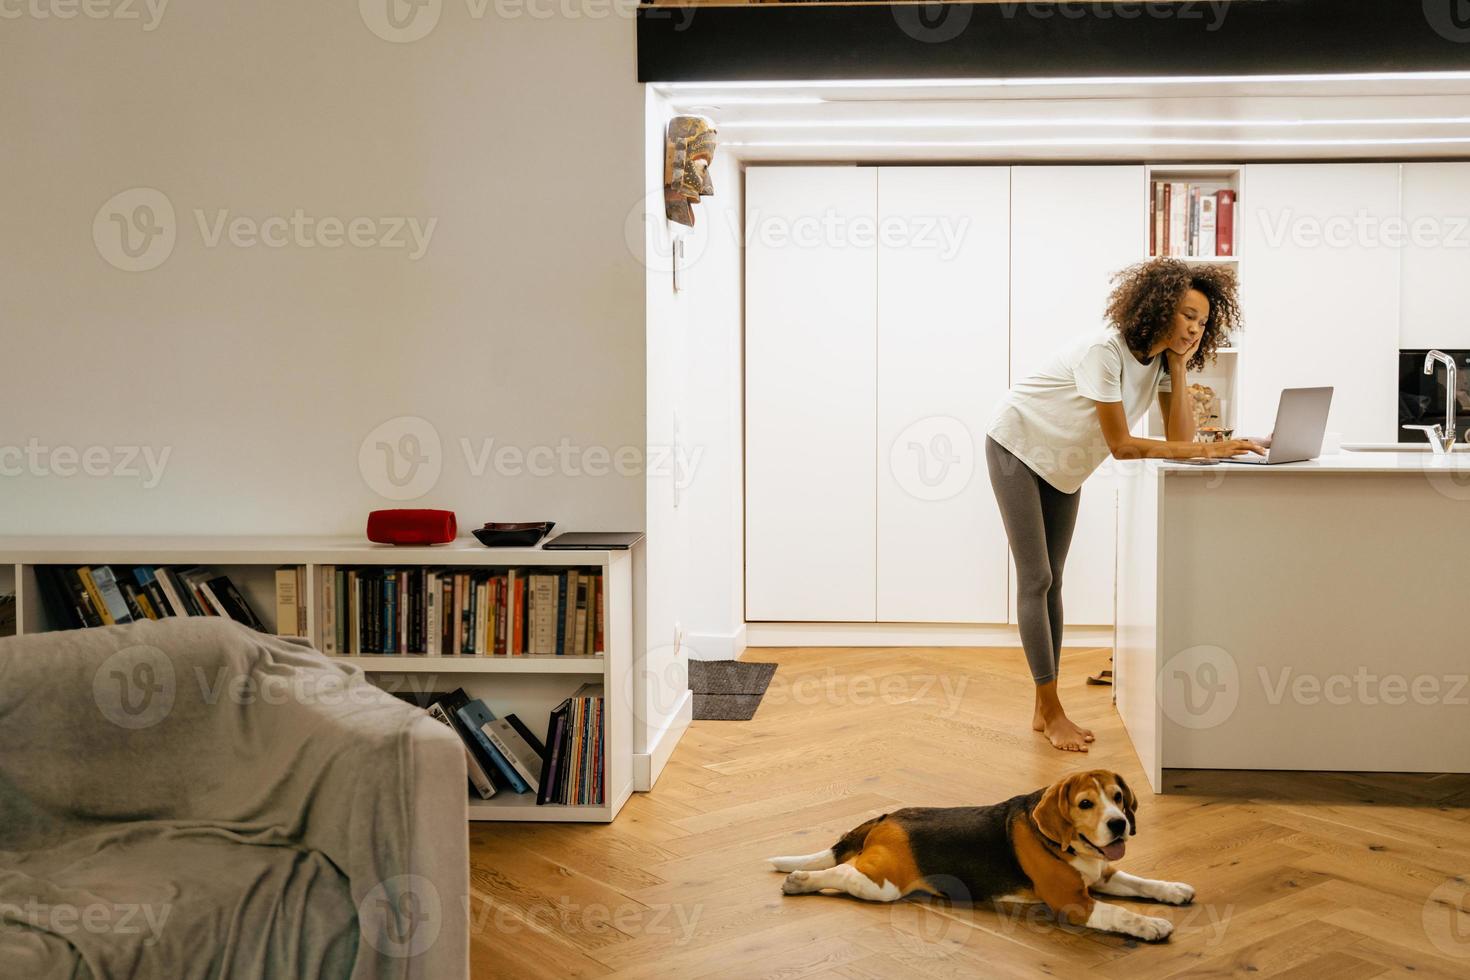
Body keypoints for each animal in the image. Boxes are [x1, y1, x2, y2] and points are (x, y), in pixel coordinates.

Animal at [770, 769, 1193, 940]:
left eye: (1118, 797)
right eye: (1086, 803)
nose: (1119, 824)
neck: (1071, 845)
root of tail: (887, 816)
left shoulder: (1102, 875)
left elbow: (1142, 882)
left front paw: (1173, 890)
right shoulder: (1073, 901)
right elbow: (1121, 913)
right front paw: (1151, 925)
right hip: (883, 885)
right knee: (841, 874)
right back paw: (799, 880)